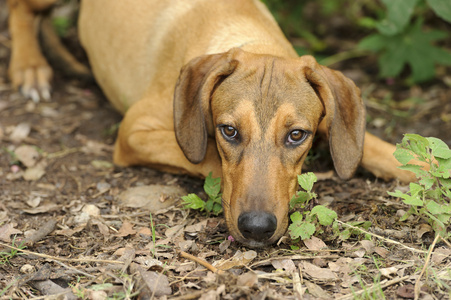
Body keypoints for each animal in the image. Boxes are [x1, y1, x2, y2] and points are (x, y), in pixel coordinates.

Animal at [7, 0, 424, 247]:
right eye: (229, 131)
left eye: (295, 135)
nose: (257, 228)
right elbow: (206, 157)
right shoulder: (135, 131)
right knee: (20, 7)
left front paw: (421, 165)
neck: (250, 35)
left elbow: (388, 150)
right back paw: (30, 66)